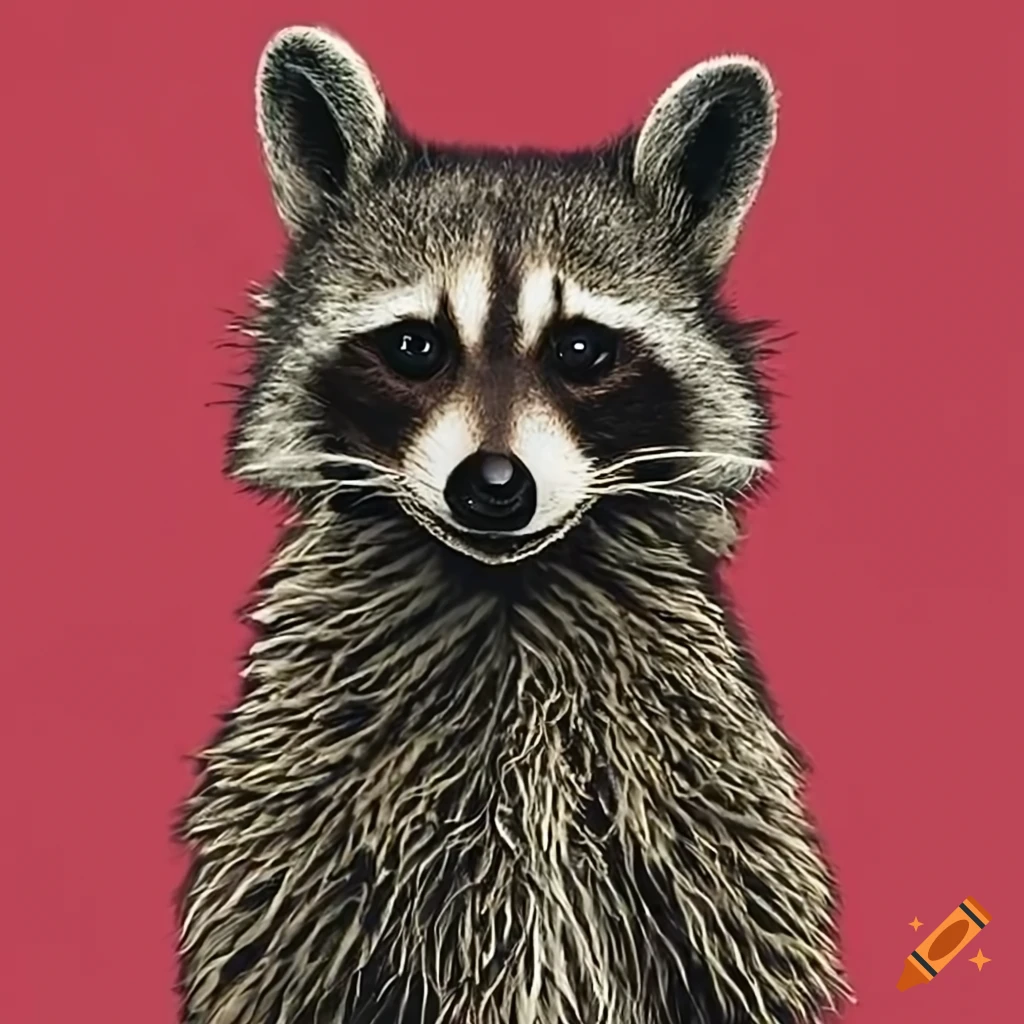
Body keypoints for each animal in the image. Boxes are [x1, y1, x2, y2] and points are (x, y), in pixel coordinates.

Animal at [175, 24, 852, 1024]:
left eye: (581, 349)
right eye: (414, 346)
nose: (492, 486)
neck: (505, 594)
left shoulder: (705, 832)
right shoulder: (299, 837)